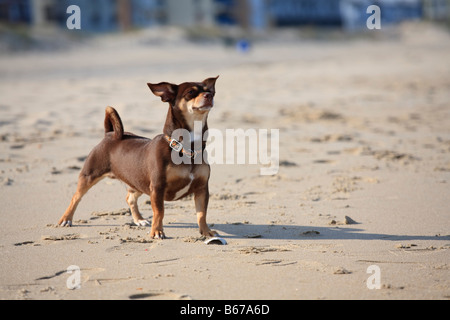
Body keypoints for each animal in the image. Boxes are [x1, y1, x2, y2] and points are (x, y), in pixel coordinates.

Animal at [58, 76, 220, 239]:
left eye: (210, 91)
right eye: (191, 92)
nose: (209, 96)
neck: (185, 146)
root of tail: (110, 134)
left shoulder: (202, 188)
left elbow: (201, 213)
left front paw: (206, 232)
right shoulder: (157, 187)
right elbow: (159, 212)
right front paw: (157, 231)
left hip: (138, 181)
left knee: (129, 198)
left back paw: (139, 219)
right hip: (90, 176)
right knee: (76, 197)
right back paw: (66, 219)